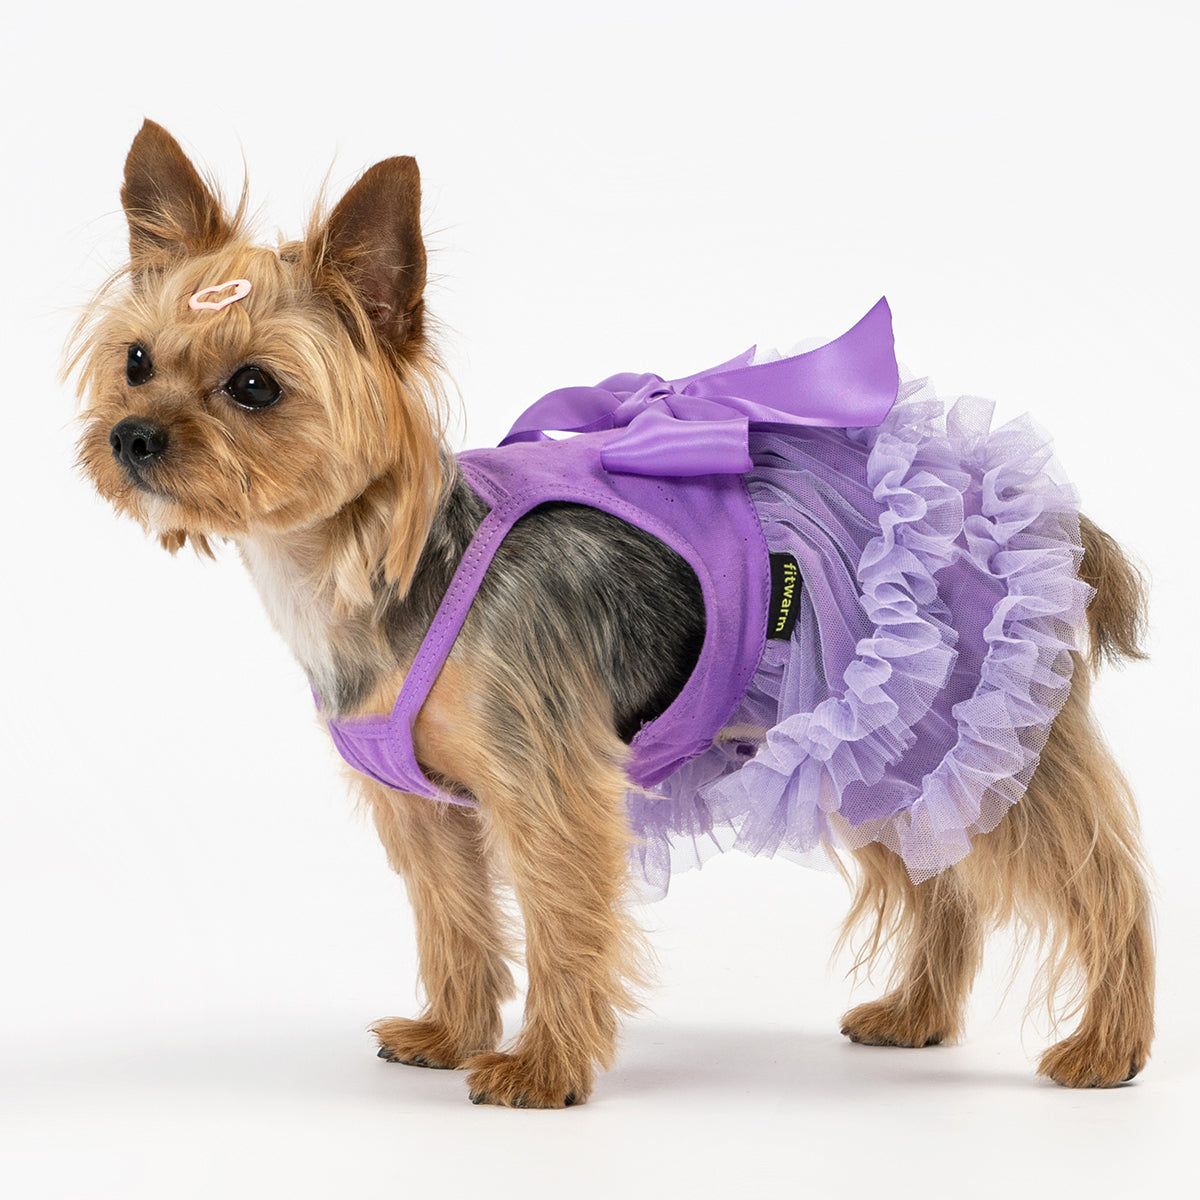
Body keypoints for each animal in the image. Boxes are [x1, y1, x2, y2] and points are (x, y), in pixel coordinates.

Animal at [72, 120, 1155, 1107]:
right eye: (136, 361)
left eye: (255, 385)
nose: (131, 437)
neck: (370, 562)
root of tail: (1042, 516)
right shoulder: (425, 809)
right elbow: (453, 917)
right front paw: (450, 1033)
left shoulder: (548, 785)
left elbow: (562, 922)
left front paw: (543, 1070)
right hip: (874, 741)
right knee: (943, 880)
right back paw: (918, 1014)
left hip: (960, 719)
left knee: (1103, 876)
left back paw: (1110, 1044)